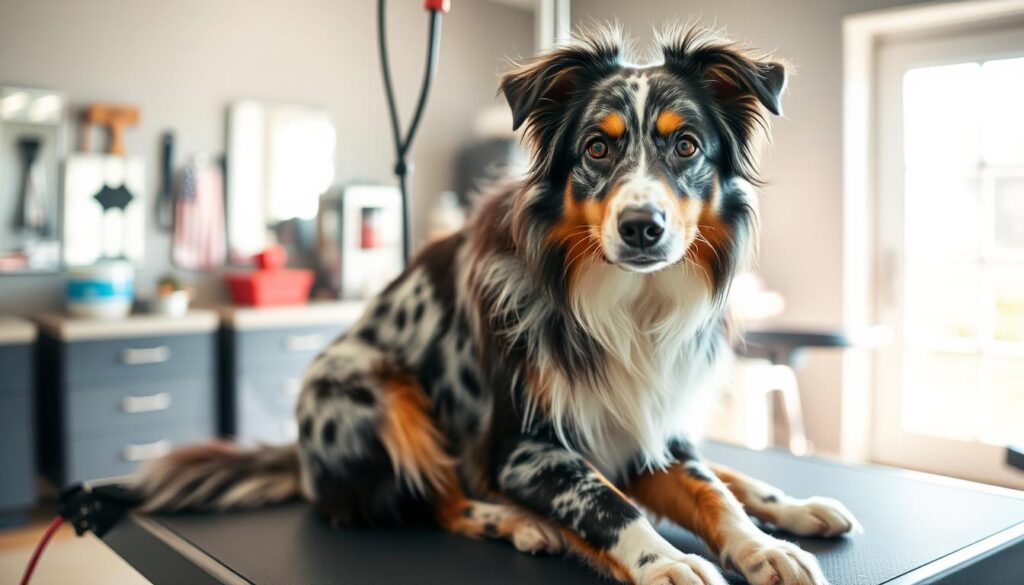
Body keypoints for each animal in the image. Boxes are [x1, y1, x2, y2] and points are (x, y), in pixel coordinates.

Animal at [134, 25, 856, 585]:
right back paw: (515, 520)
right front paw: (664, 561)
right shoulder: (523, 448)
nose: (641, 227)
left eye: (686, 146)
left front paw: (765, 546)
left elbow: (711, 489)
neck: (621, 304)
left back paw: (798, 506)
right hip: (374, 387)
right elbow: (606, 502)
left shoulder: (648, 424)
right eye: (597, 146)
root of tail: (304, 464)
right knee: (439, 498)